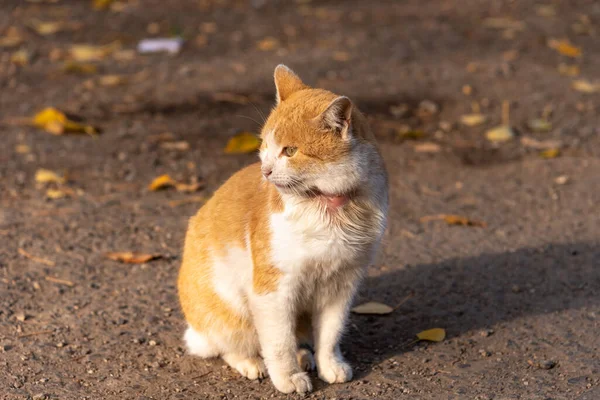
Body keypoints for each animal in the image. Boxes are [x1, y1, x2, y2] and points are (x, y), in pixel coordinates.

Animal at [177, 64, 390, 392]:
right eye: (265, 145)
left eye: (290, 151)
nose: (265, 170)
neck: (328, 208)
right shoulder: (274, 290)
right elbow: (278, 342)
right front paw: (288, 377)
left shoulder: (341, 285)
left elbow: (330, 335)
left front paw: (330, 365)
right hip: (228, 309)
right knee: (230, 345)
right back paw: (251, 362)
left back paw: (304, 356)